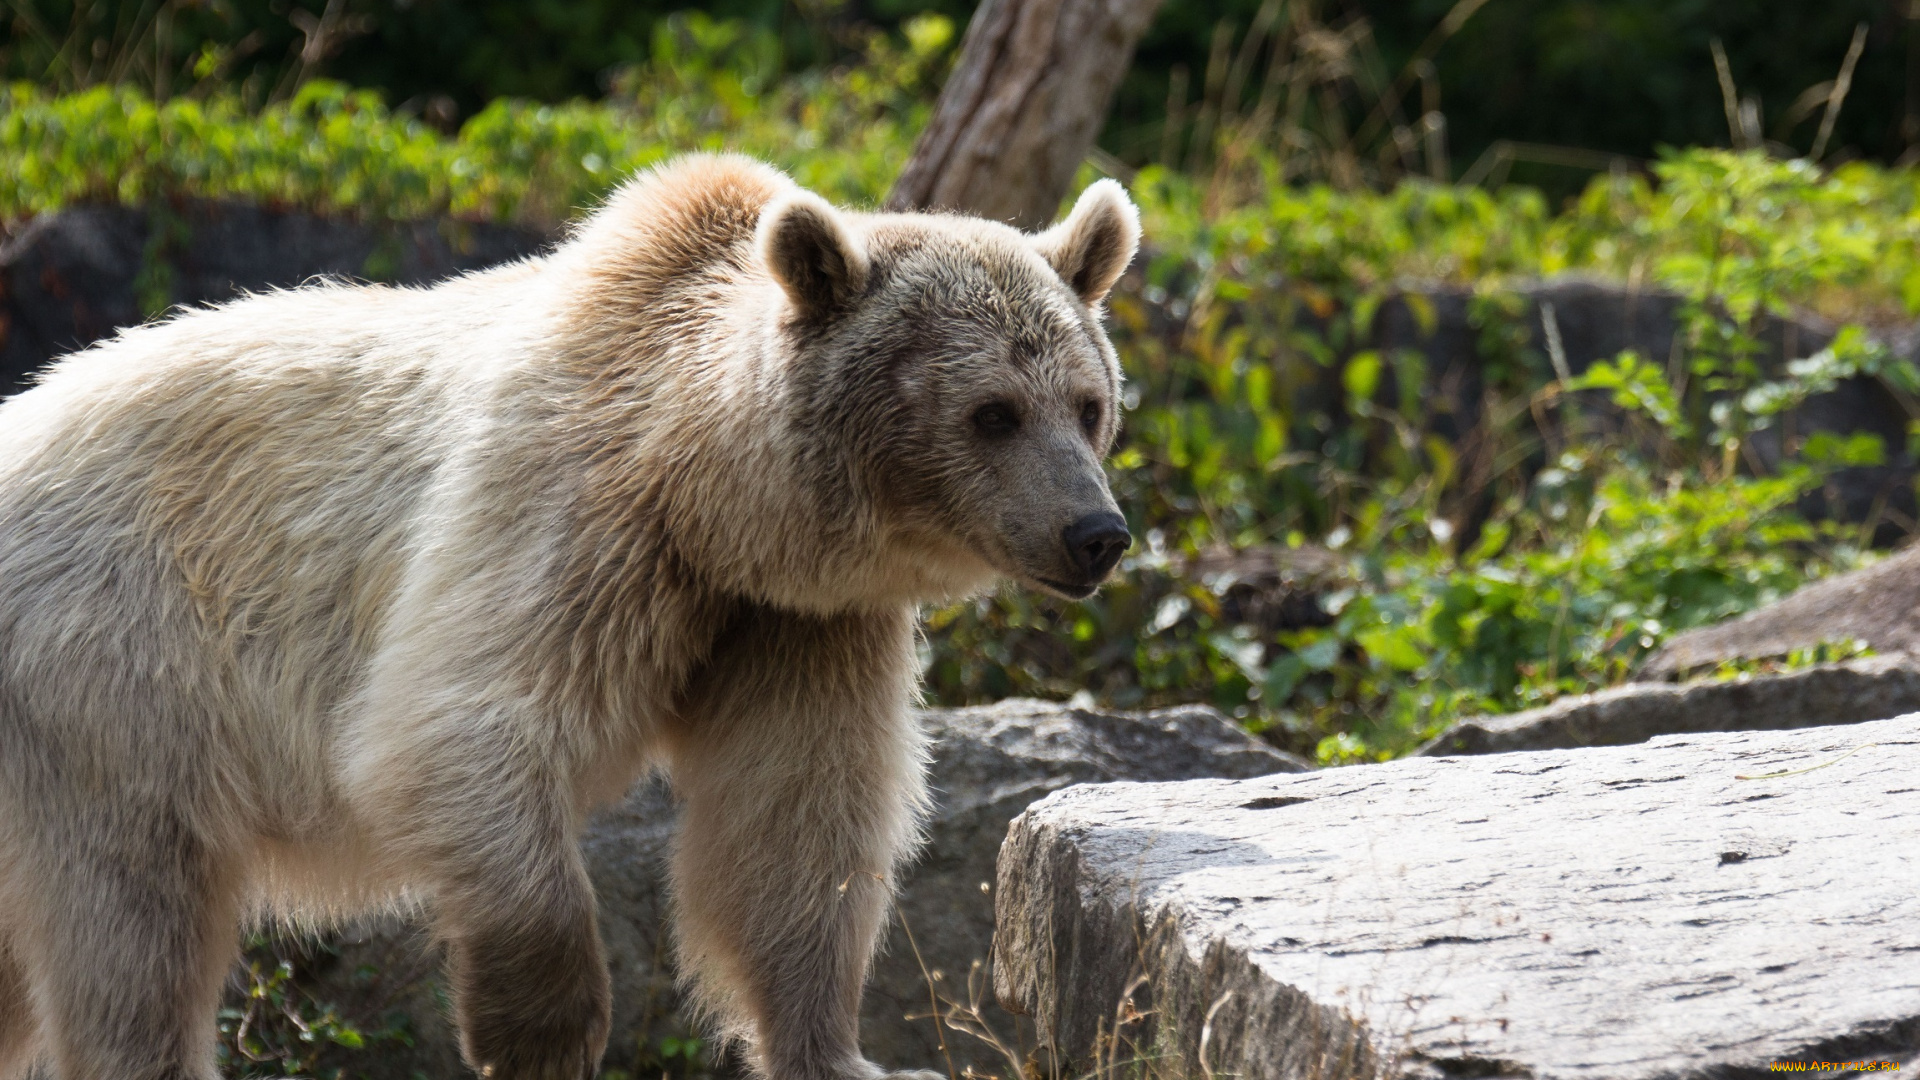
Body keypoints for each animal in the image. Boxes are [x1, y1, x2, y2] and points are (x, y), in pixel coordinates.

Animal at [0, 151, 1136, 1076]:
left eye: (1089, 405)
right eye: (992, 413)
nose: (1097, 533)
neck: (711, 499)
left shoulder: (794, 623)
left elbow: (797, 821)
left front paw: (834, 1049)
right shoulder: (571, 511)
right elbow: (459, 727)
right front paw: (541, 1030)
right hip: (112, 674)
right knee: (134, 928)